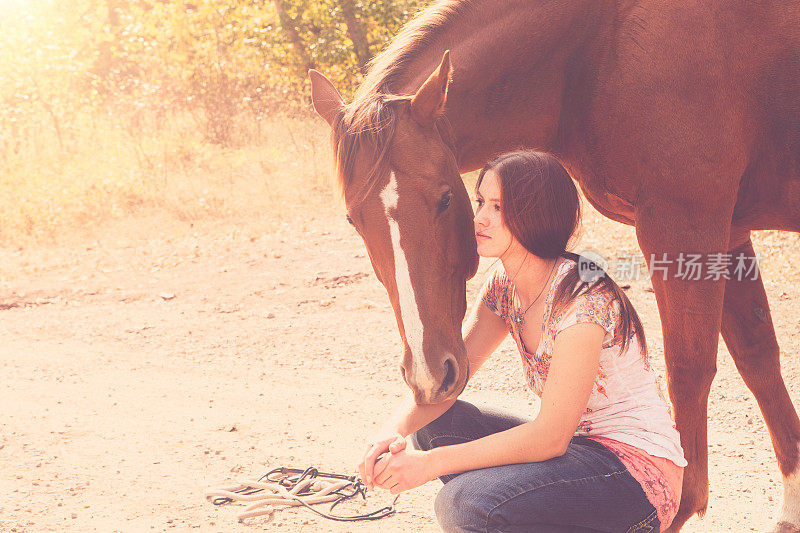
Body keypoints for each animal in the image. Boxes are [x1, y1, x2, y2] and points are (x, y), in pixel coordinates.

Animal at [308, 2, 800, 528]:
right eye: (353, 219)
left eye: (445, 199)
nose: (429, 376)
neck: (600, 46)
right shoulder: (730, 234)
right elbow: (758, 358)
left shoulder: (686, 226)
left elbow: (689, 371)